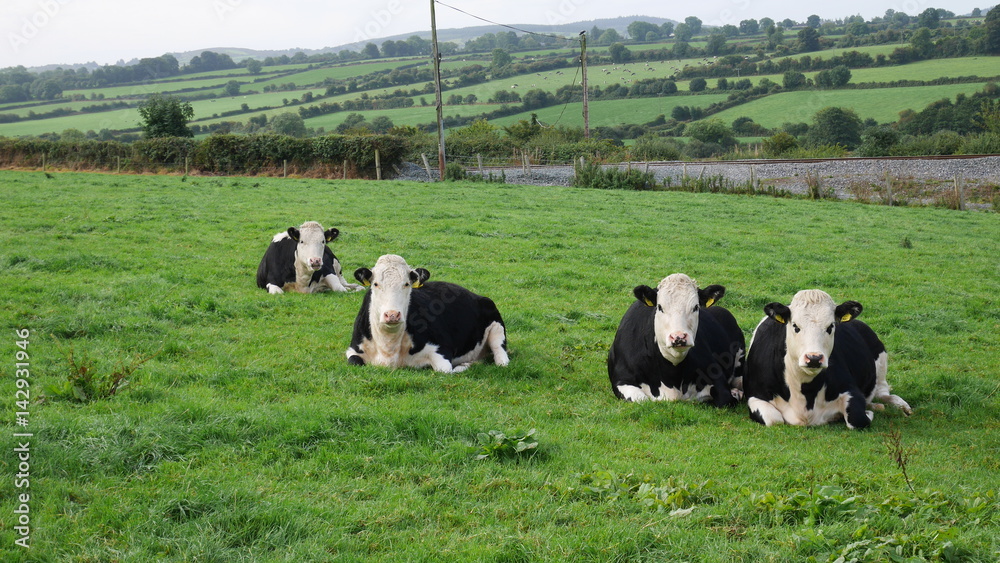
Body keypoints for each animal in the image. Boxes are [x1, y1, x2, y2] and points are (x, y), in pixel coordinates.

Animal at [348, 256, 512, 374]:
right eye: (375, 284)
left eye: (406, 284)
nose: (392, 314)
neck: (388, 349)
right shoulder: (353, 350)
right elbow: (353, 361)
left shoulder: (442, 349)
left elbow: (445, 370)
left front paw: (462, 366)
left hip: (497, 328)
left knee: (501, 358)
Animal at [604, 272, 748, 406]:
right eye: (660, 307)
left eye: (696, 307)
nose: (679, 337)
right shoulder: (622, 380)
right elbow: (641, 399)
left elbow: (725, 398)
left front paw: (734, 394)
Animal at [744, 290, 916, 432]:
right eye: (795, 326)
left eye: (831, 326)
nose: (814, 358)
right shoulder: (756, 394)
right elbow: (774, 419)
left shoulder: (850, 389)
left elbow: (858, 419)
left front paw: (867, 412)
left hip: (880, 363)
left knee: (883, 392)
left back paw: (898, 405)